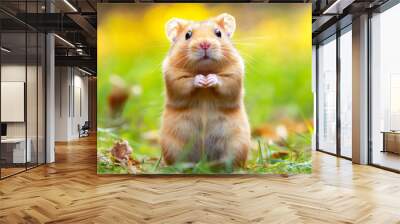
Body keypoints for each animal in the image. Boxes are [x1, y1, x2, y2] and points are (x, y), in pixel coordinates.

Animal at [159, 13, 250, 167]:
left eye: (218, 33)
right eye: (188, 35)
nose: (205, 44)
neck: (205, 68)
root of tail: (204, 161)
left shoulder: (235, 74)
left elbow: (225, 82)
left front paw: (210, 80)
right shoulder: (173, 76)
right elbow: (184, 82)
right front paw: (201, 80)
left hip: (237, 144)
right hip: (172, 146)